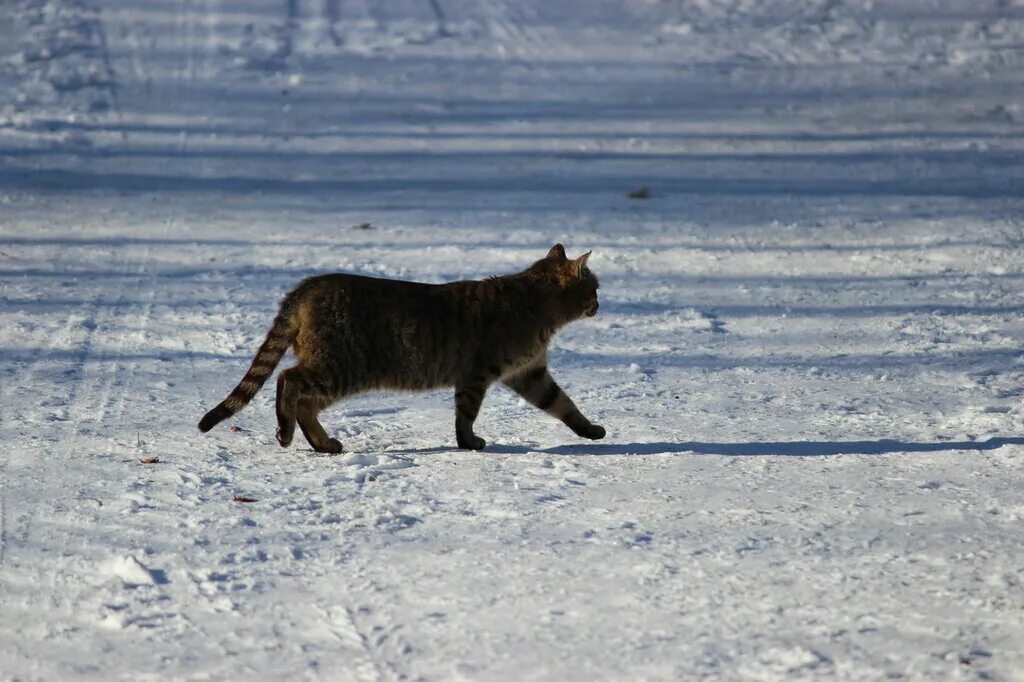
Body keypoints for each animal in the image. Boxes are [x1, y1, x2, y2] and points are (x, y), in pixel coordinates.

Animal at [195, 244, 602, 450]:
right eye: (595, 287)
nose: (601, 303)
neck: (535, 303)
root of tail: (308, 286)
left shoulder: (530, 374)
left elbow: (564, 405)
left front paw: (590, 430)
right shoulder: (478, 374)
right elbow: (466, 415)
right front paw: (468, 442)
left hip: (338, 372)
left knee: (306, 403)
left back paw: (323, 443)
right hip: (339, 366)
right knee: (287, 380)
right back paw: (287, 431)